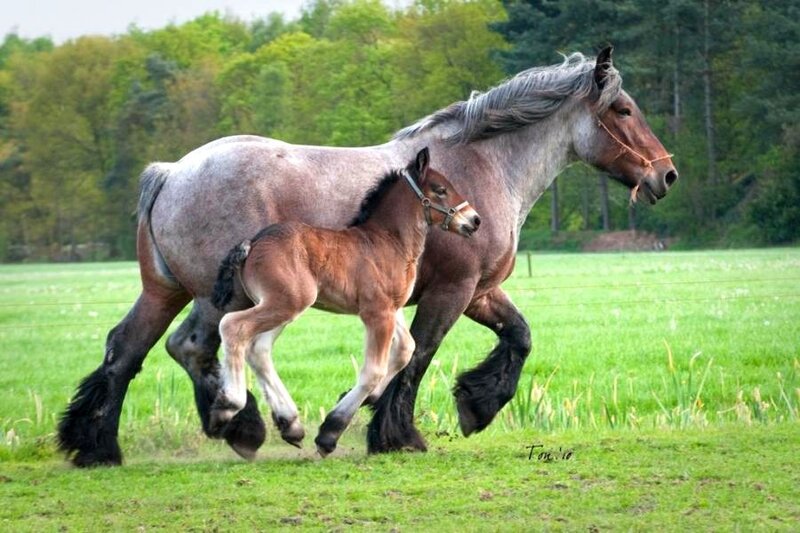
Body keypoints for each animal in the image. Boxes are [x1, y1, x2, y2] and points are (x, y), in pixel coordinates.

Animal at [207, 148, 480, 457]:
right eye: (441, 190)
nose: (475, 220)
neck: (389, 242)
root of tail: (252, 243)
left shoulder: (392, 308)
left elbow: (406, 349)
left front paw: (370, 398)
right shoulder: (377, 312)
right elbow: (373, 370)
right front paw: (330, 432)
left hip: (281, 307)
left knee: (258, 349)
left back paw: (290, 425)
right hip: (285, 303)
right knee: (232, 326)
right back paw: (227, 407)